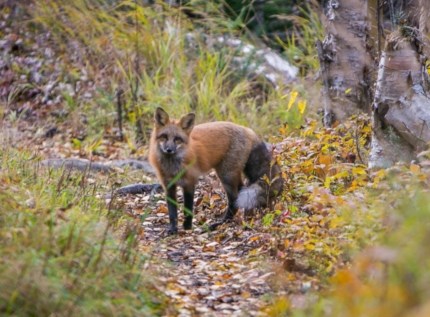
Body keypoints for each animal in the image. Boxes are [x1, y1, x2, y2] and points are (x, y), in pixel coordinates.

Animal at [148, 107, 282, 233]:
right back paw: (244, 216)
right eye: (164, 137)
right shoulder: (168, 185)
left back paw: (223, 222)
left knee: (235, 198)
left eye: (177, 139)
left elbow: (188, 208)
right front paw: (173, 229)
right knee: (242, 190)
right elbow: (172, 212)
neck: (172, 166)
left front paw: (187, 227)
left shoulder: (189, 182)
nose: (169, 150)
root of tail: (248, 130)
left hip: (226, 175)